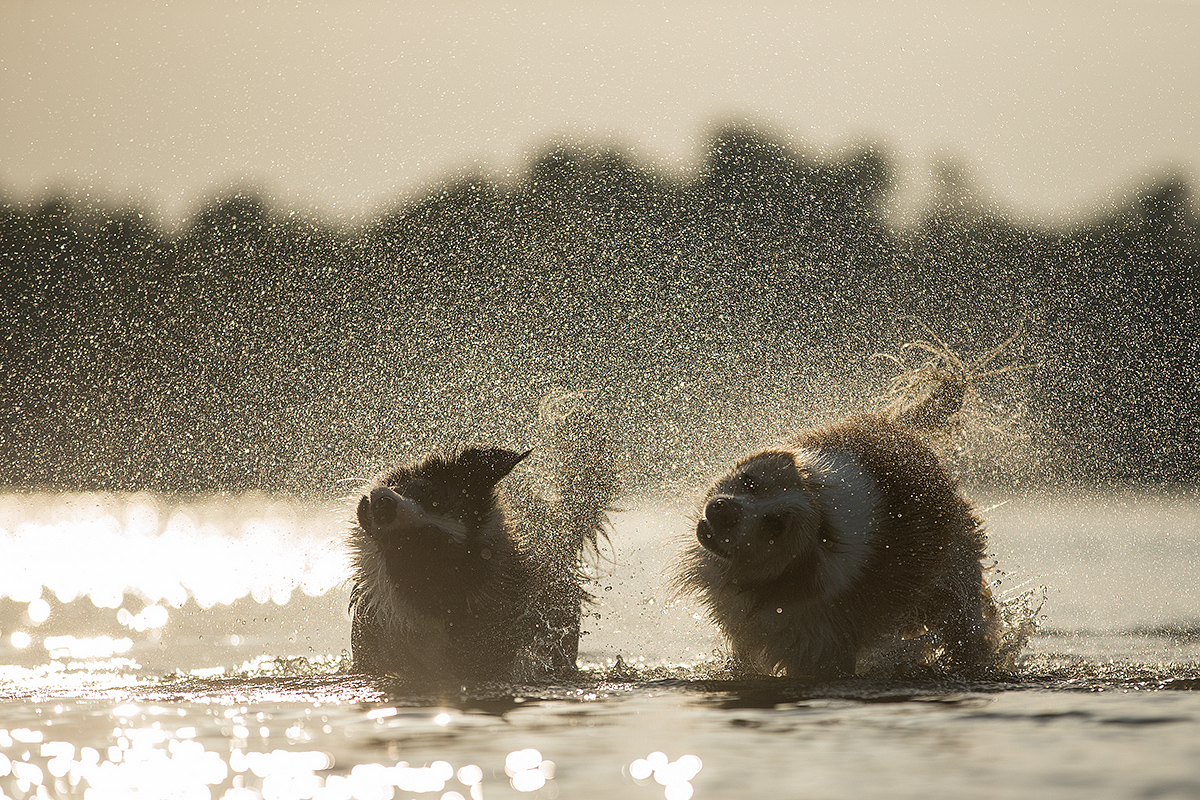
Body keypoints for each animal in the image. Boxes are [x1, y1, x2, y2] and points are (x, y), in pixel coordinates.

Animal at [676, 412, 1003, 681]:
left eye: (776, 526)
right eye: (748, 482)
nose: (722, 509)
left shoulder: (821, 644)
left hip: (953, 585)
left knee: (963, 628)